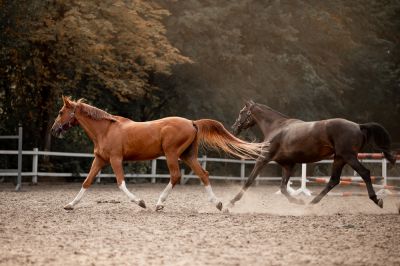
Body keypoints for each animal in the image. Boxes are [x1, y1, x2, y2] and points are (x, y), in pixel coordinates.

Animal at [51, 96, 264, 211]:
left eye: (61, 112)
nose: (53, 130)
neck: (106, 130)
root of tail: (192, 122)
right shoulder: (100, 160)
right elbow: (86, 182)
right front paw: (70, 205)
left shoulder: (115, 159)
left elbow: (120, 183)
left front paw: (141, 202)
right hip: (188, 156)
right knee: (203, 174)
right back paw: (218, 203)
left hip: (171, 154)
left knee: (176, 176)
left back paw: (159, 203)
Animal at [227, 101, 396, 209]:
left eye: (242, 112)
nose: (234, 128)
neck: (277, 127)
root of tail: (359, 126)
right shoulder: (288, 165)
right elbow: (283, 188)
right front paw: (299, 202)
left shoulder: (264, 159)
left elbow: (249, 181)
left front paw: (230, 203)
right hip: (339, 158)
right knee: (333, 180)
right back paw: (311, 203)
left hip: (349, 157)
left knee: (364, 173)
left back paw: (377, 200)